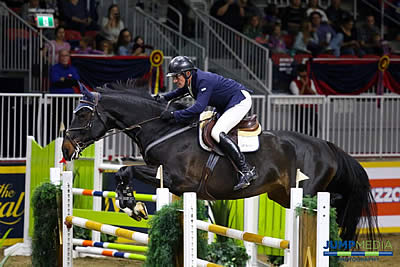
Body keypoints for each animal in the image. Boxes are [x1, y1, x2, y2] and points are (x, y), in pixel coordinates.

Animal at [61, 81, 378, 243]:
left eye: (82, 114)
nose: (65, 148)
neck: (163, 129)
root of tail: (326, 145)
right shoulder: (174, 183)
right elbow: (123, 174)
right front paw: (132, 205)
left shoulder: (175, 179)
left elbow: (126, 170)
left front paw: (132, 204)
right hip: (281, 195)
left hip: (305, 191)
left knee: (331, 202)